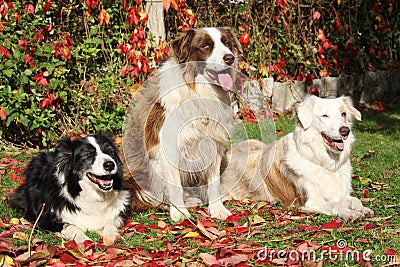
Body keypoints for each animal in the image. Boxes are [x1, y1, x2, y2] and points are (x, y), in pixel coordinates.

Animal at [122, 27, 241, 222]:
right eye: (205, 46)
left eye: (227, 43)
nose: (229, 58)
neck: (200, 91)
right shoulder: (167, 148)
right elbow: (174, 185)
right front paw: (179, 213)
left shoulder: (213, 143)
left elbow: (214, 182)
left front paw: (217, 209)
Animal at [222, 95, 376, 221]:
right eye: (325, 115)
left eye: (343, 114)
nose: (345, 130)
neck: (325, 163)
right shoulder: (311, 200)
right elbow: (335, 205)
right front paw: (350, 213)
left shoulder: (341, 193)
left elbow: (355, 200)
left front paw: (363, 209)